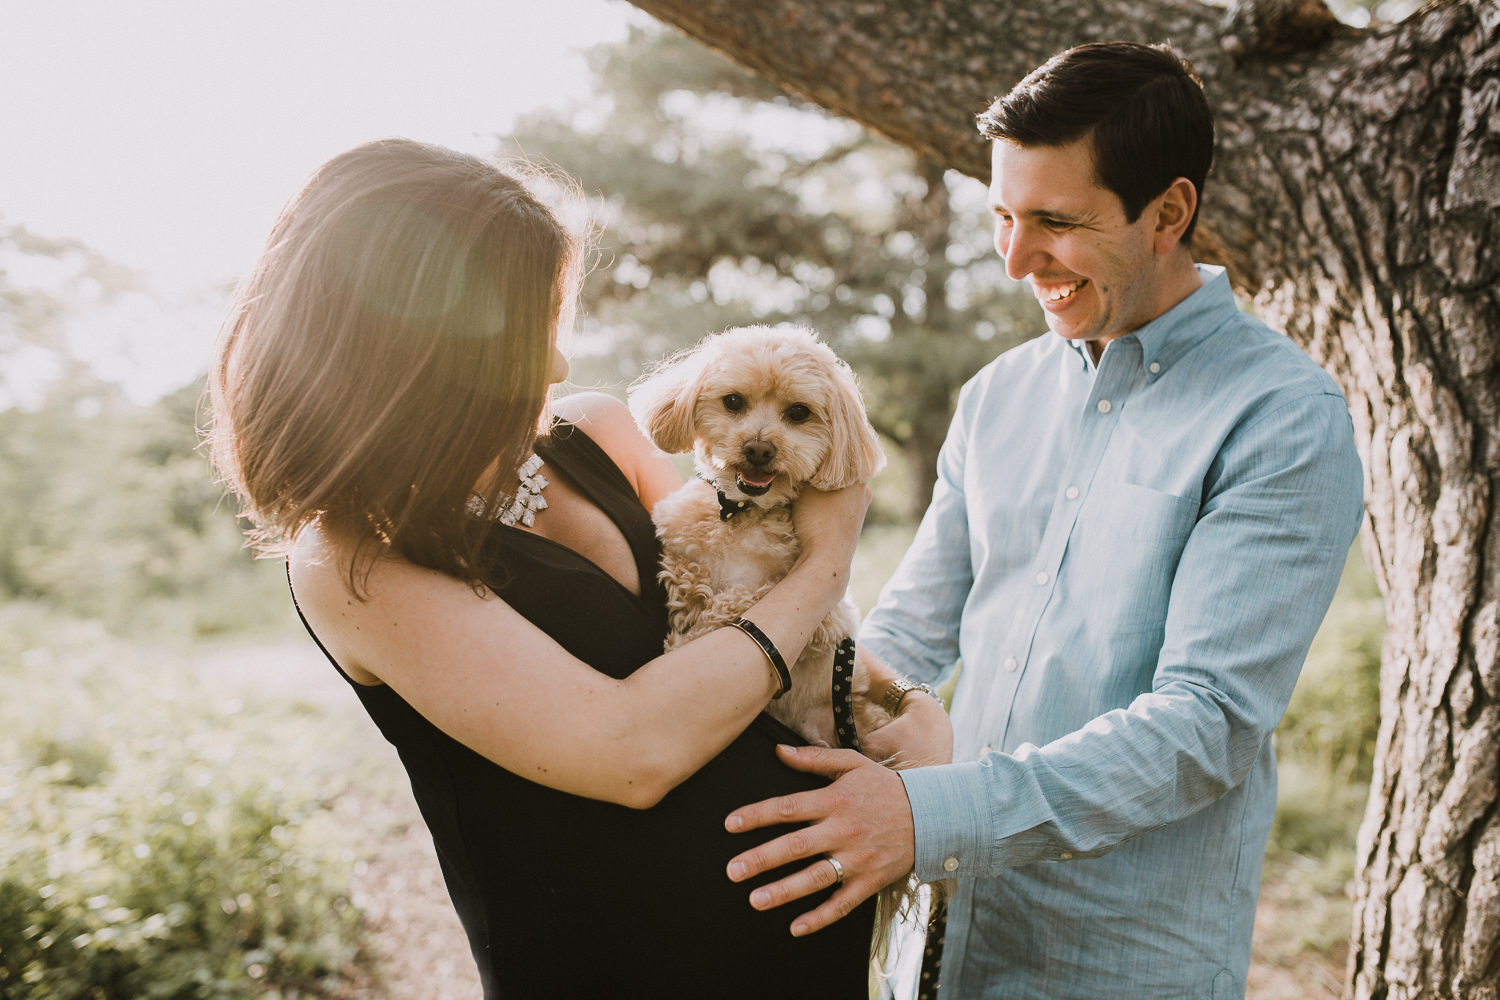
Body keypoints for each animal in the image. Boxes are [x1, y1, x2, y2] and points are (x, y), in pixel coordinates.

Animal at [630, 325, 888, 746]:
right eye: (733, 401)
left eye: (798, 412)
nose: (759, 448)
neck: (743, 513)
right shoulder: (678, 530)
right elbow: (686, 565)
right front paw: (689, 596)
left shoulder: (827, 618)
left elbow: (741, 598)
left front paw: (687, 638)